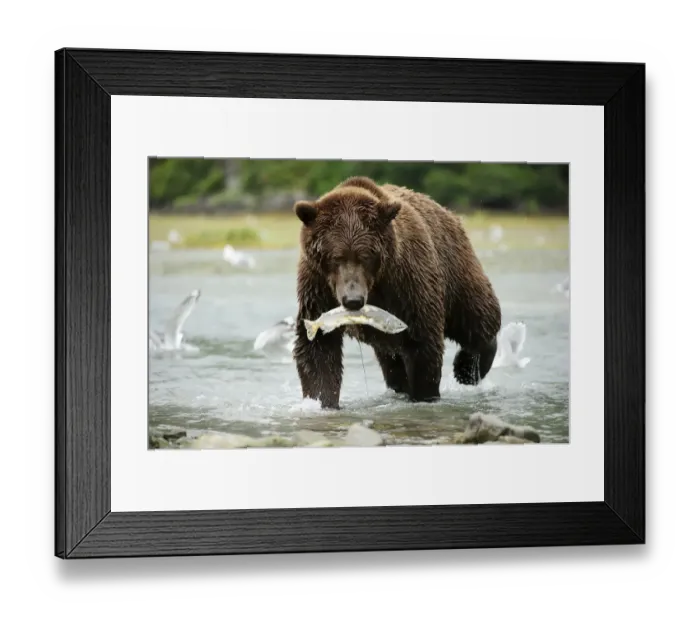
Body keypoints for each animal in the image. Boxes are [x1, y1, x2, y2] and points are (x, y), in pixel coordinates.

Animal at [292, 176, 501, 409]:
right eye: (336, 257)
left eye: (365, 256)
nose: (353, 300)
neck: (375, 283)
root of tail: (446, 210)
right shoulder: (317, 289)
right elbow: (319, 349)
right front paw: (322, 402)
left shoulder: (407, 282)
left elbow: (423, 342)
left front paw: (424, 395)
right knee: (392, 362)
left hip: (454, 266)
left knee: (474, 316)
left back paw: (466, 368)